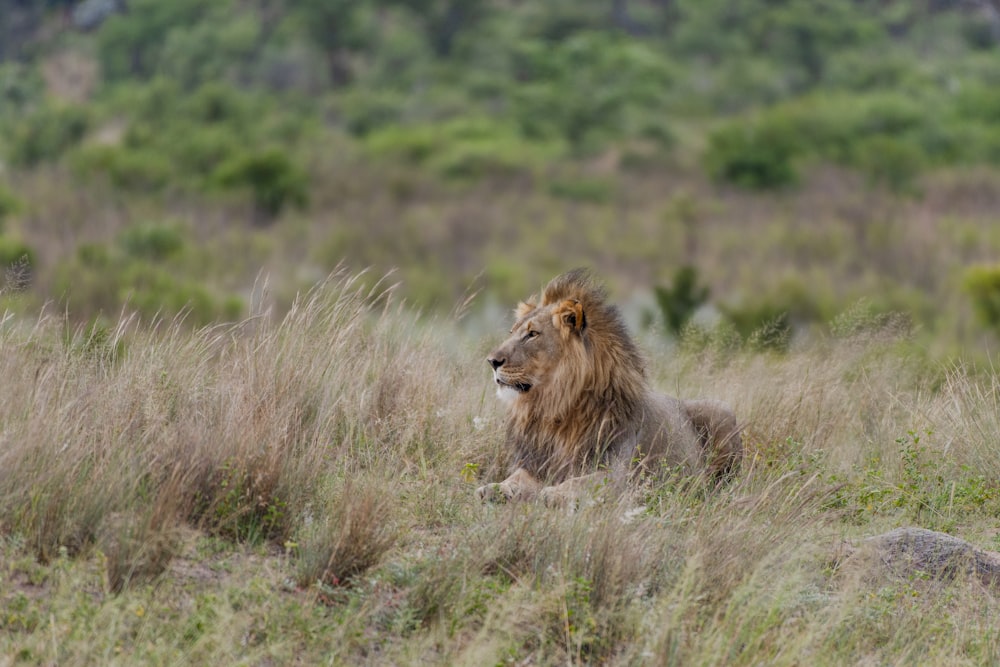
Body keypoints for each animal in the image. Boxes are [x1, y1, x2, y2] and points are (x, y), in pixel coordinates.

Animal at [476, 268, 744, 506]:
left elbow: (583, 483)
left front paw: (554, 493)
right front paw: (494, 489)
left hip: (721, 413)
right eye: (512, 332)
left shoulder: (620, 475)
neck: (555, 407)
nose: (491, 361)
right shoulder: (538, 463)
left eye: (532, 334)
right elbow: (516, 477)